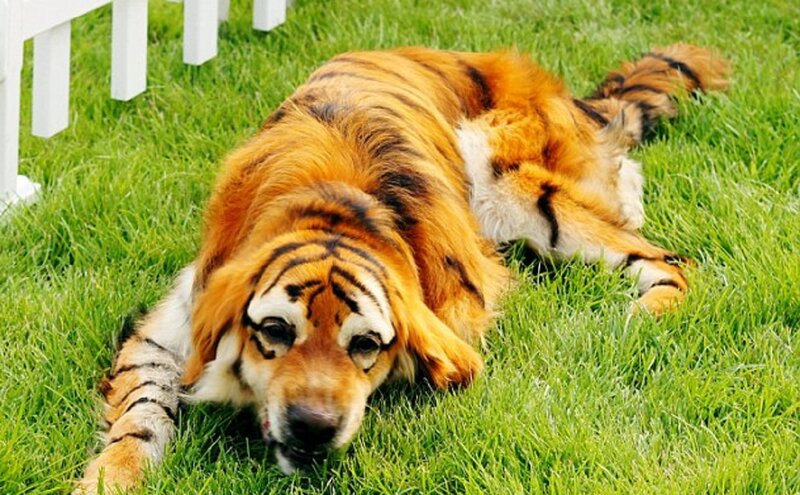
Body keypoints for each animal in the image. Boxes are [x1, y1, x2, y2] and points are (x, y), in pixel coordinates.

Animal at [74, 43, 728, 493]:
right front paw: (111, 477)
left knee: (667, 258)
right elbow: (139, 415)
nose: (313, 426)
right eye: (276, 331)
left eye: (366, 344)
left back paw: (637, 317)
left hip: (506, 174)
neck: (333, 210)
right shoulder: (170, 329)